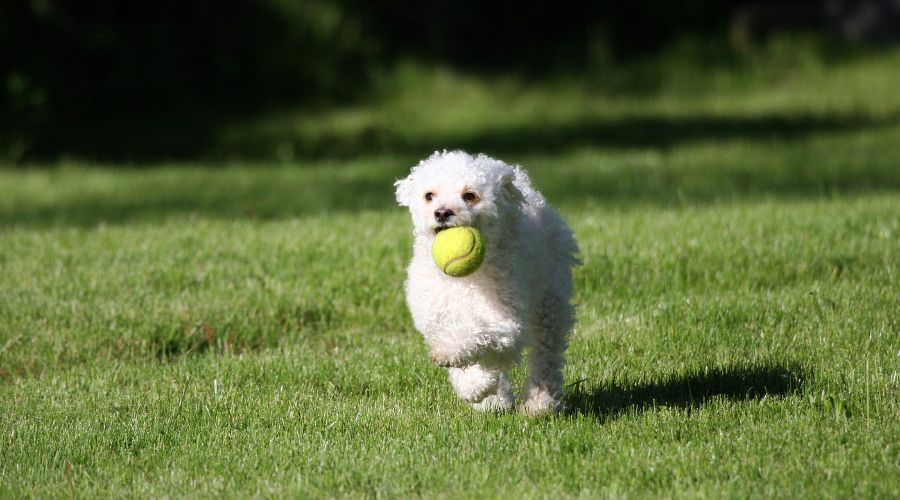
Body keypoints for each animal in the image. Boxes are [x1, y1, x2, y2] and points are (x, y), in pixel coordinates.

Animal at [396, 150, 580, 416]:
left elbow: (475, 336)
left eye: (469, 196)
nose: (441, 212)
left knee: (546, 354)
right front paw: (480, 390)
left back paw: (540, 403)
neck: (464, 281)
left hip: (550, 301)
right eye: (429, 196)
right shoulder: (437, 319)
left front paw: (473, 380)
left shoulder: (506, 322)